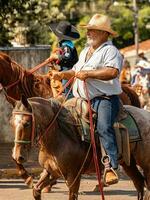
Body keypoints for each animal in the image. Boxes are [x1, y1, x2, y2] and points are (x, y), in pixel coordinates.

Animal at [10, 96, 150, 199]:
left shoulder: (74, 176)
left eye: (27, 123)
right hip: (128, 163)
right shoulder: (51, 171)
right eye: (11, 123)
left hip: (146, 166)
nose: (17, 156)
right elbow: (36, 190)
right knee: (139, 183)